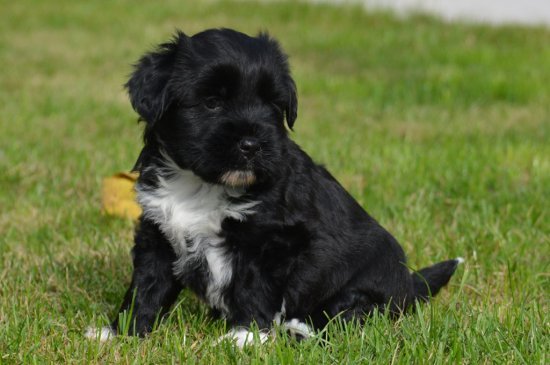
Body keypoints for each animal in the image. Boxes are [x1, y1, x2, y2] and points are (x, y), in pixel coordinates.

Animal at [86, 28, 464, 344]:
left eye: (272, 105)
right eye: (212, 102)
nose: (253, 144)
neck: (201, 184)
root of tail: (409, 285)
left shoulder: (274, 243)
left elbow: (254, 289)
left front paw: (244, 338)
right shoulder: (158, 234)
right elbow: (147, 287)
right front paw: (121, 332)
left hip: (364, 284)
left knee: (349, 315)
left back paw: (298, 328)